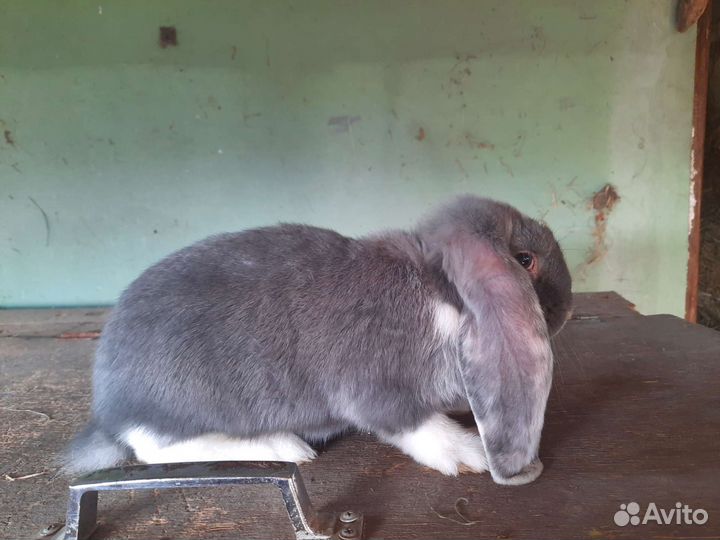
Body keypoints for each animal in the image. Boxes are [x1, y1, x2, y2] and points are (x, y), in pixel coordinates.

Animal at [62, 195, 572, 486]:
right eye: (524, 260)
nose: (567, 310)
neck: (441, 295)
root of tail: (109, 411)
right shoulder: (377, 391)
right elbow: (415, 426)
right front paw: (469, 454)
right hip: (185, 402)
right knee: (152, 446)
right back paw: (283, 447)